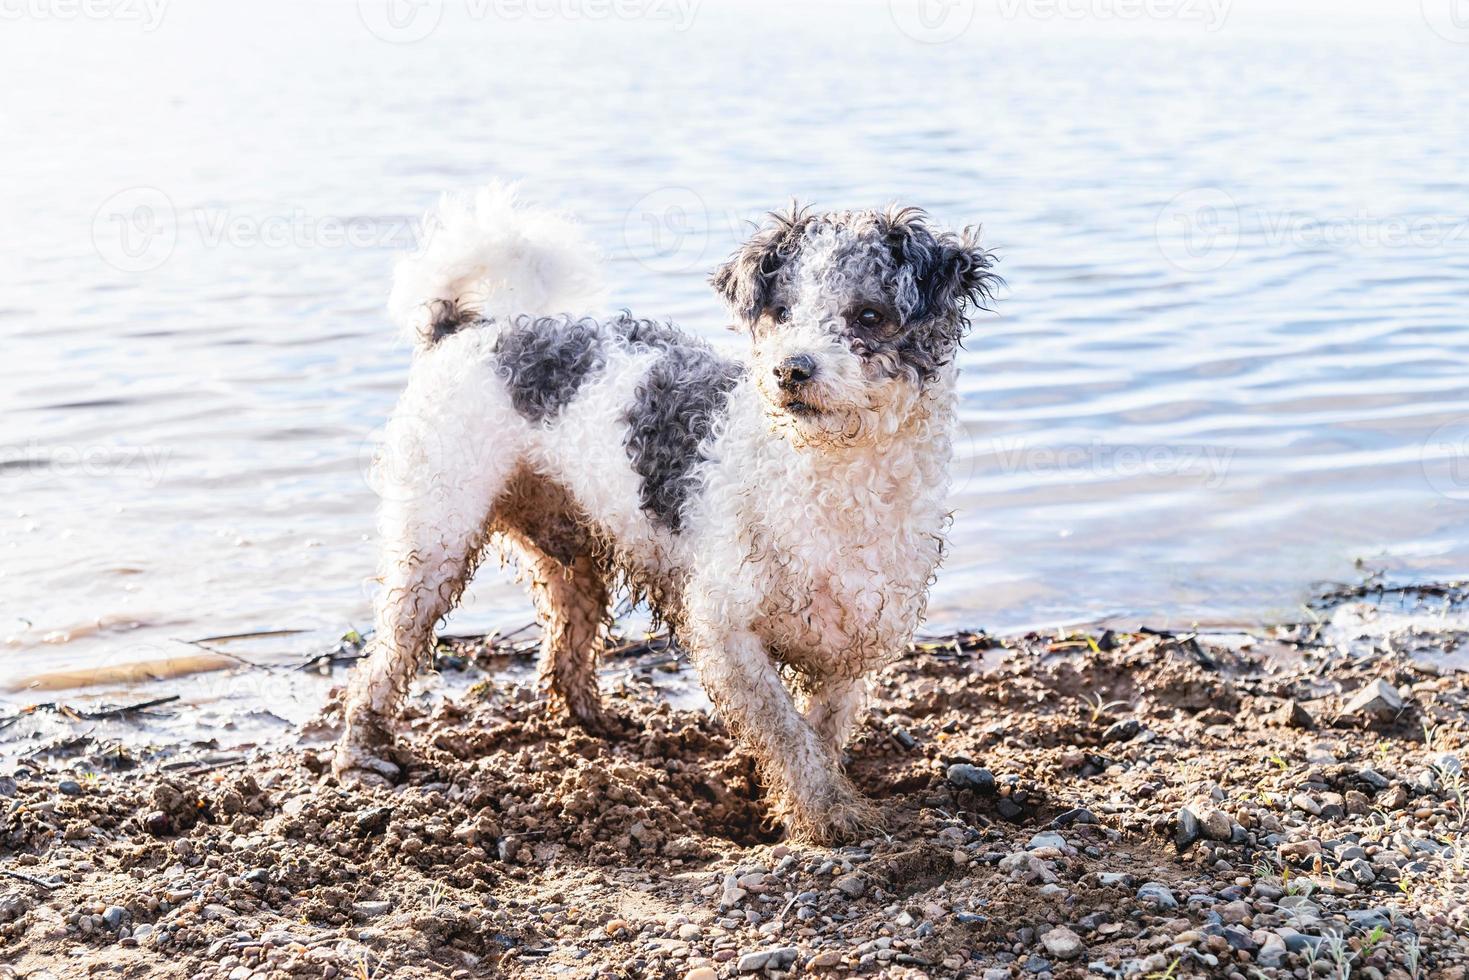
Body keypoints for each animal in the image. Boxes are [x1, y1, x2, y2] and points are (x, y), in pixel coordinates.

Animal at [333, 183, 998, 846]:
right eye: (782, 313)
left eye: (869, 316)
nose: (791, 370)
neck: (827, 475)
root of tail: (463, 328)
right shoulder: (727, 632)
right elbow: (787, 733)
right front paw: (826, 814)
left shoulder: (852, 644)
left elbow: (822, 731)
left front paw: (815, 801)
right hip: (433, 546)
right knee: (384, 658)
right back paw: (362, 754)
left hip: (568, 552)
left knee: (567, 644)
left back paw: (595, 725)